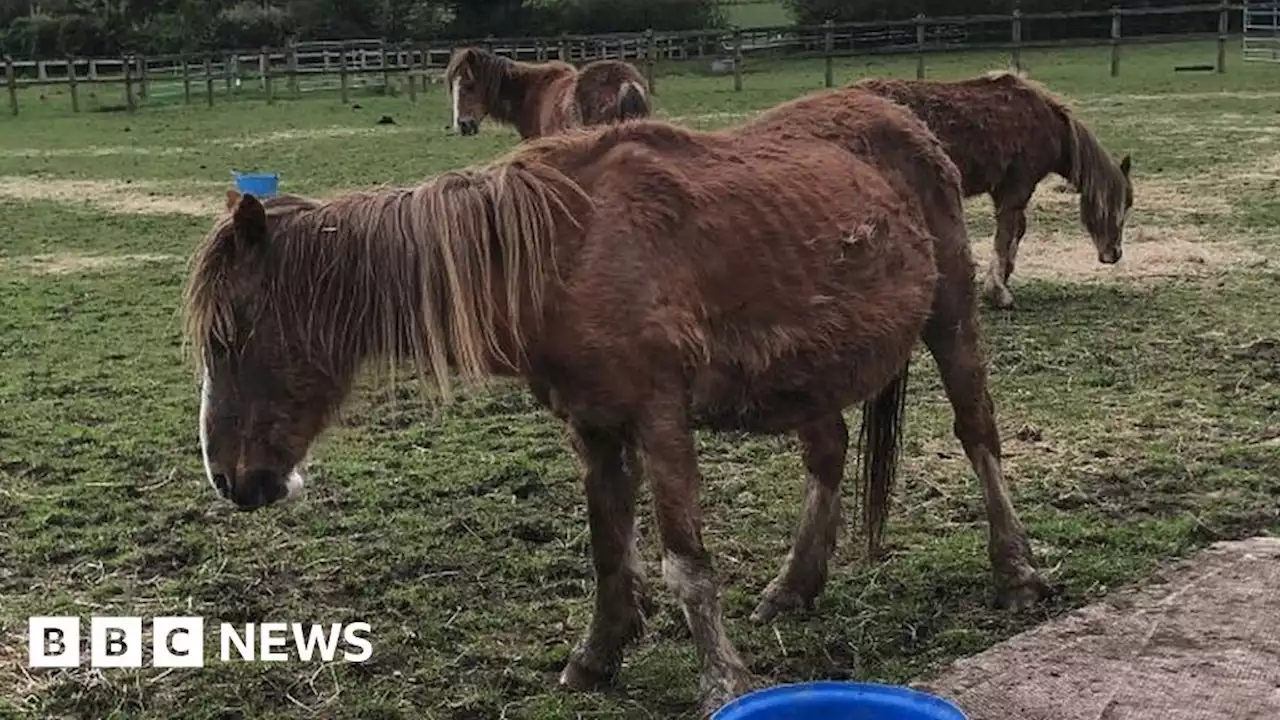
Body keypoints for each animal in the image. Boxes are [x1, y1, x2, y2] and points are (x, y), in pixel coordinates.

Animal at [185, 89, 1044, 712]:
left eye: (232, 334)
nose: (230, 479)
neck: (562, 251)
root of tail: (904, 120)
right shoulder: (593, 425)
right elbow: (606, 547)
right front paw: (595, 658)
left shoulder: (660, 418)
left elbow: (684, 561)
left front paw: (721, 680)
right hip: (811, 372)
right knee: (828, 456)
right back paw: (793, 588)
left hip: (950, 318)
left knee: (977, 431)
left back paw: (1018, 571)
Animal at [855, 70, 1136, 308]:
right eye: (1122, 204)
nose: (1114, 254)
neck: (1047, 123)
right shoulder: (1016, 188)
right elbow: (1005, 234)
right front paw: (998, 293)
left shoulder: (1004, 189)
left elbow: (1016, 231)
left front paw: (1004, 278)